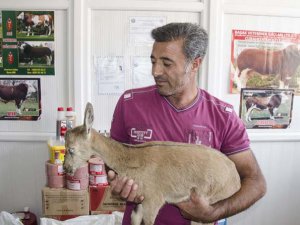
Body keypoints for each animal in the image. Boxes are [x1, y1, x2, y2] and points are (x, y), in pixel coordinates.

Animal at [63, 102, 241, 225]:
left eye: (71, 149)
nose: (66, 169)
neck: (132, 159)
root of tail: (236, 180)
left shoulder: (154, 200)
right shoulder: (141, 200)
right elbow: (134, 219)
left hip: (206, 204)